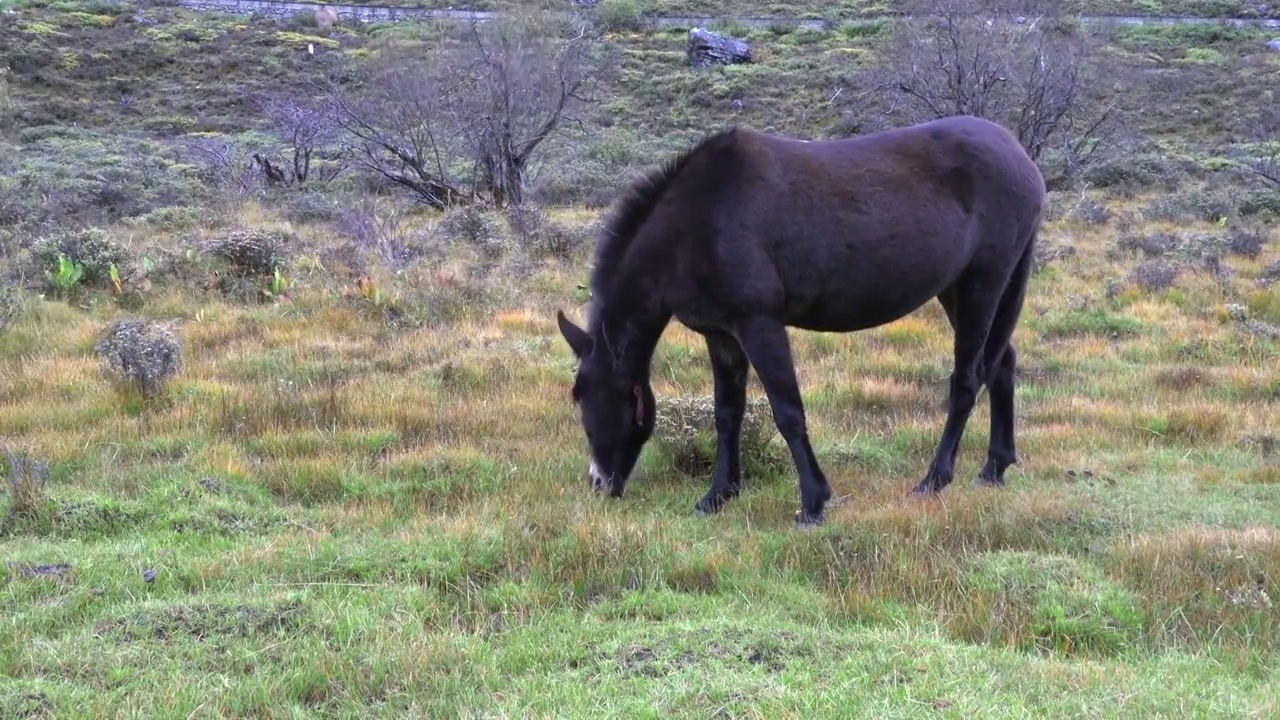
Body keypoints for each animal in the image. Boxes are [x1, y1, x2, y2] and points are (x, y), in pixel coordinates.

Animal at [555, 113, 1044, 527]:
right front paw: (717, 496)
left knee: (967, 379)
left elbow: (787, 412)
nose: (599, 483)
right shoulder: (723, 336)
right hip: (957, 290)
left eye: (584, 396)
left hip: (983, 282)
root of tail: (1020, 157)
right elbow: (727, 413)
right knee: (1002, 362)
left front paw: (813, 503)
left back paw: (934, 479)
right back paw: (995, 466)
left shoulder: (760, 325)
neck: (695, 223)